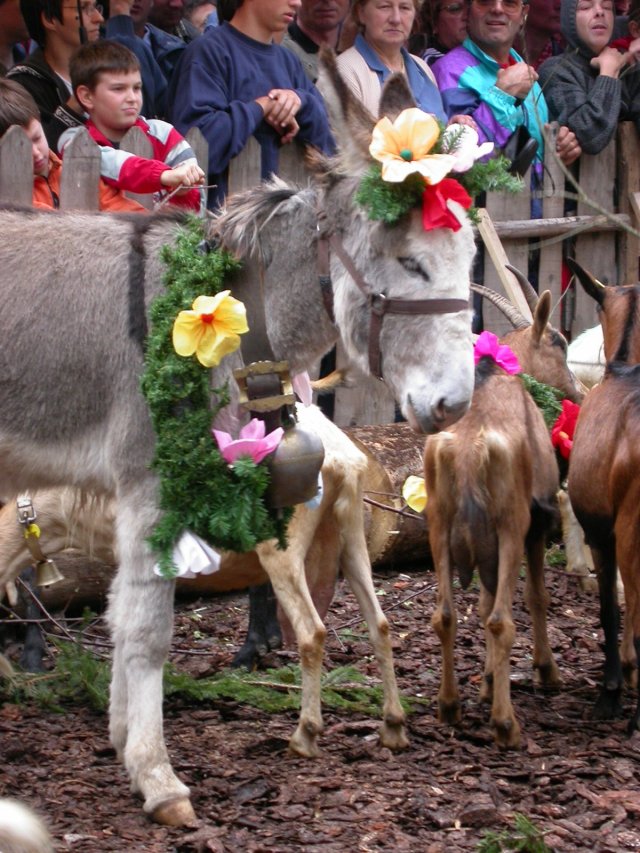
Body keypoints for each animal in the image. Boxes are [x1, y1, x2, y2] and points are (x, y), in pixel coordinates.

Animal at [424, 284, 568, 744]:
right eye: (559, 342)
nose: (578, 389)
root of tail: (471, 449)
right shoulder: (536, 525)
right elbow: (536, 596)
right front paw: (545, 670)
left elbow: (484, 602)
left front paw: (486, 684)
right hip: (510, 523)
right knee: (503, 619)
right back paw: (506, 724)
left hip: (439, 523)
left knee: (446, 615)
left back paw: (450, 706)